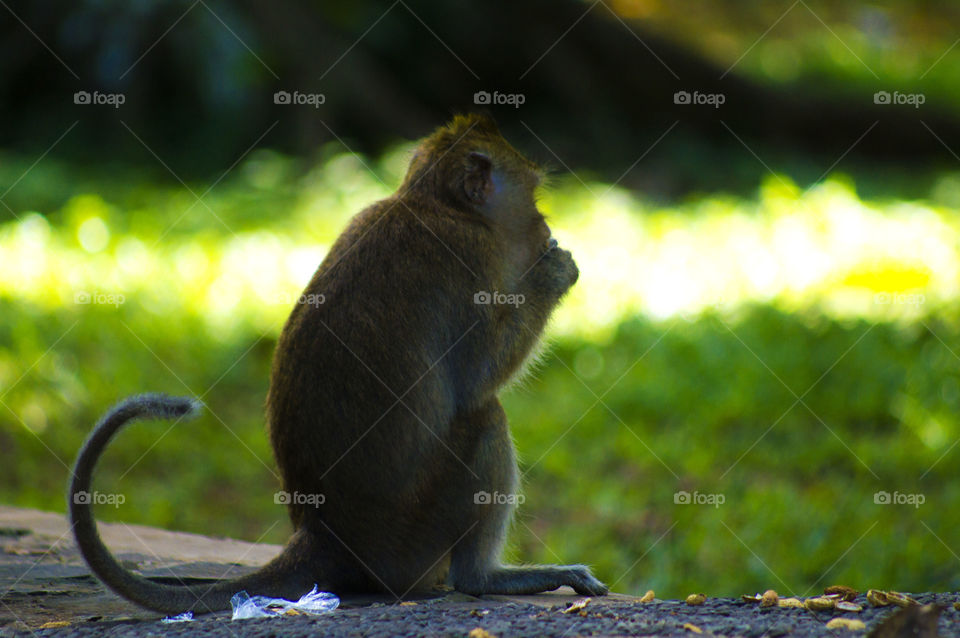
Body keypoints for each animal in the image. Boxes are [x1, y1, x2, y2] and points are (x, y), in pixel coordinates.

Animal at [69, 113, 608, 614]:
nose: (546, 227)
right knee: (483, 416)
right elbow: (476, 379)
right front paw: (553, 272)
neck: (431, 204)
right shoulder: (472, 259)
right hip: (414, 536)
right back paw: (483, 577)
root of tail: (324, 538)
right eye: (534, 198)